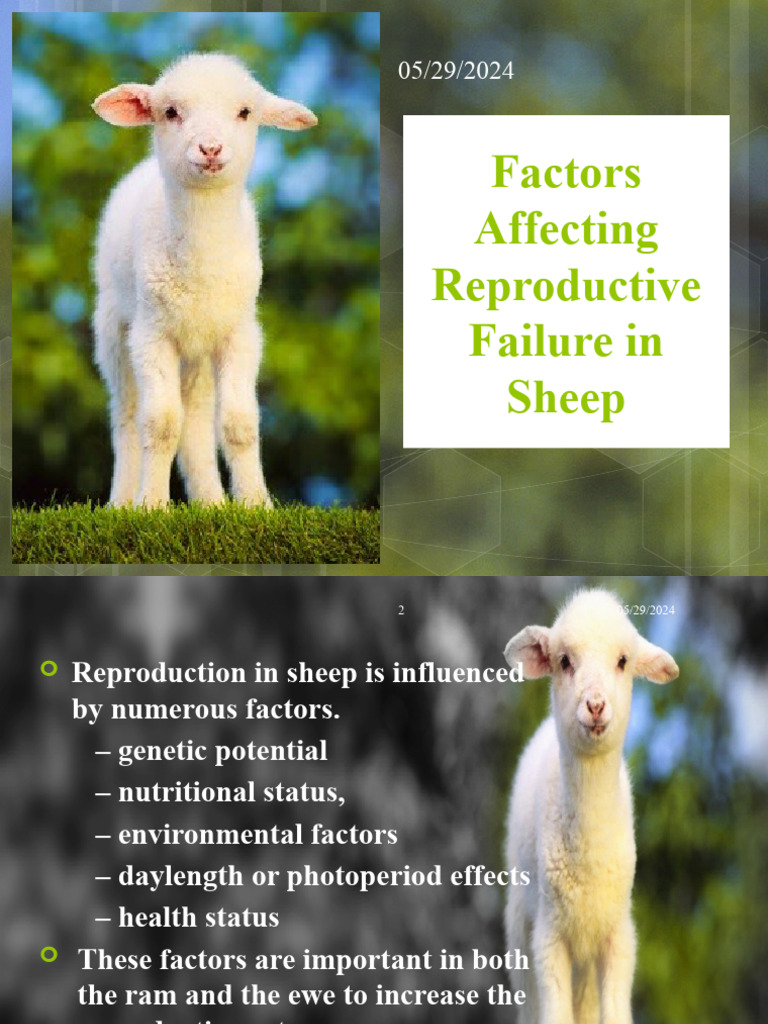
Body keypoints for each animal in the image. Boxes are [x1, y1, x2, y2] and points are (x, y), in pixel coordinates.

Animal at [91, 53, 317, 508]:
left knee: (195, 420)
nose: (210, 148)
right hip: (113, 328)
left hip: (198, 350)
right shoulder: (151, 334)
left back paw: (210, 501)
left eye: (245, 112)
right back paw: (123, 501)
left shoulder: (240, 333)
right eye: (170, 112)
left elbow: (239, 423)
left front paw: (256, 505)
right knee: (126, 415)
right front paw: (152, 506)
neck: (202, 266)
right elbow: (159, 423)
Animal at [502, 589, 678, 1024]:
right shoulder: (548, 937)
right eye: (564, 661)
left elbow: (616, 1013)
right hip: (519, 926)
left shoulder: (619, 936)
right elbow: (554, 1015)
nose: (595, 705)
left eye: (623, 661)